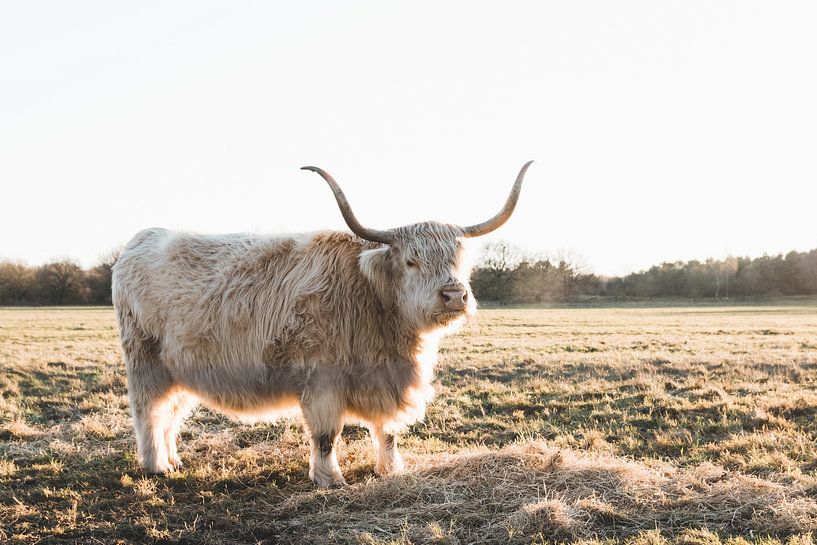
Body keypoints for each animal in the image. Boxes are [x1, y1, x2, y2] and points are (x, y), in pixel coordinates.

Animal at [115, 162, 532, 484]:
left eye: (458, 259)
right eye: (411, 261)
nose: (454, 295)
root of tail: (138, 242)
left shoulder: (386, 379)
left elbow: (388, 432)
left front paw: (390, 469)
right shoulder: (322, 380)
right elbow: (326, 434)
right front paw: (330, 479)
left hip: (180, 368)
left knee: (169, 414)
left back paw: (173, 460)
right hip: (145, 359)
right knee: (147, 412)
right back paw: (155, 466)